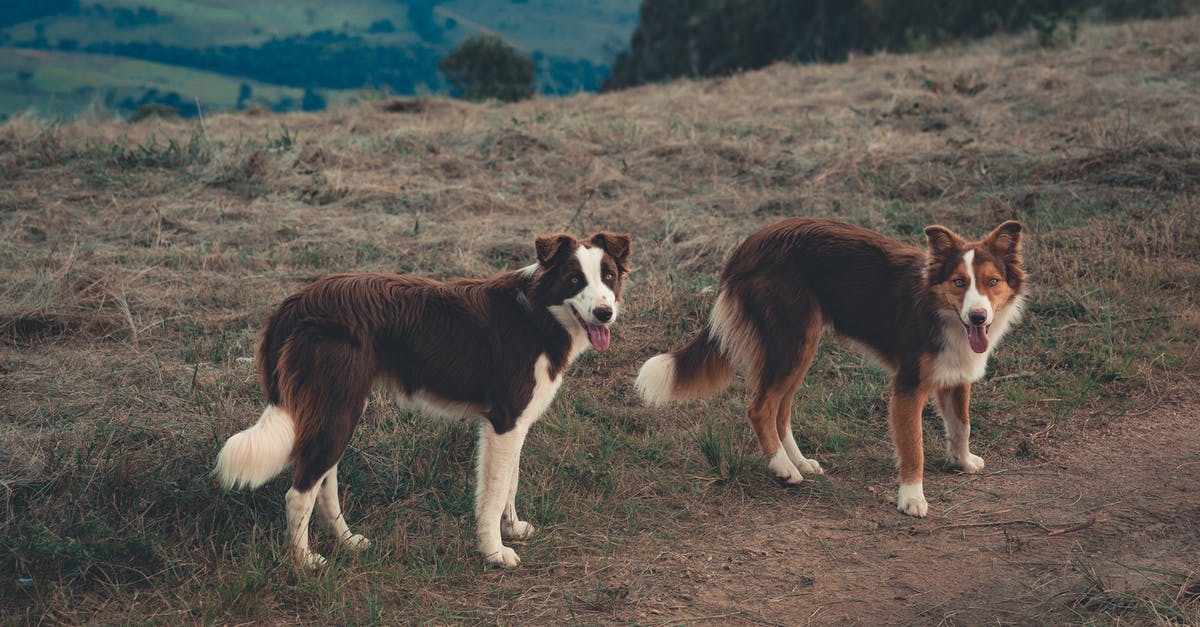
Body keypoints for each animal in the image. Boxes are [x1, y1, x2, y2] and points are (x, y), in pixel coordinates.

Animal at [217, 229, 633, 566]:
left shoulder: (516, 423)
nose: (604, 313)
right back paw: (304, 561)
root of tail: (296, 301)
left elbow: (510, 483)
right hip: (337, 408)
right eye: (574, 279)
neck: (538, 313)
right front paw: (495, 552)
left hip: (337, 408)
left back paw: (347, 541)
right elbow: (495, 490)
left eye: (608, 277)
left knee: (323, 481)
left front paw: (512, 528)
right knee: (299, 492)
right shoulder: (504, 422)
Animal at [638, 217, 1022, 514]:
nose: (978, 316)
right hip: (792, 341)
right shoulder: (908, 386)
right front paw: (912, 498)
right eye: (959, 282)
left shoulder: (956, 374)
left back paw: (799, 462)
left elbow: (961, 425)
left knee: (780, 411)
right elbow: (914, 447)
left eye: (992, 282)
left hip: (801, 347)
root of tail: (750, 243)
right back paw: (783, 468)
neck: (938, 307)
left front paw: (963, 461)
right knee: (761, 408)